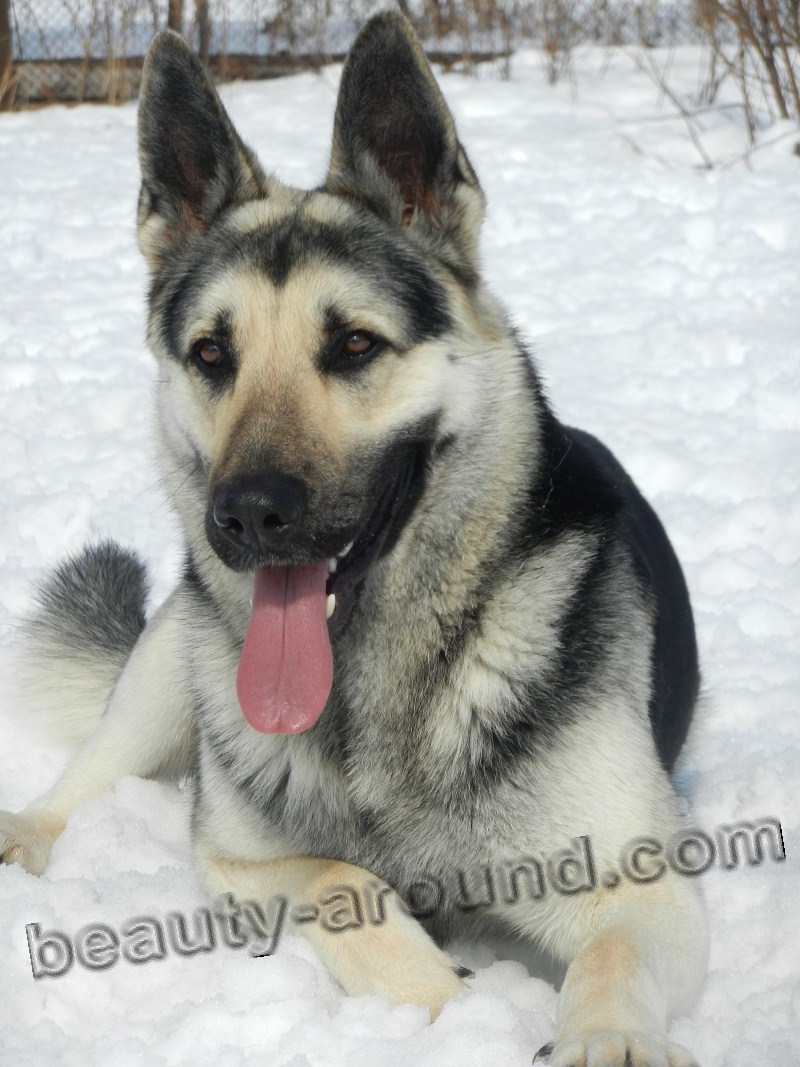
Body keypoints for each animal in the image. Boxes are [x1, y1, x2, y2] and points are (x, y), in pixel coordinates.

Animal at [4, 14, 708, 1067]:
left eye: (354, 346)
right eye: (212, 354)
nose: (247, 515)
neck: (379, 685)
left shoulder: (642, 883)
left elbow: (614, 954)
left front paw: (604, 1040)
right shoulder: (234, 857)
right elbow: (342, 880)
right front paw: (449, 1009)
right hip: (169, 672)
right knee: (81, 781)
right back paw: (22, 835)